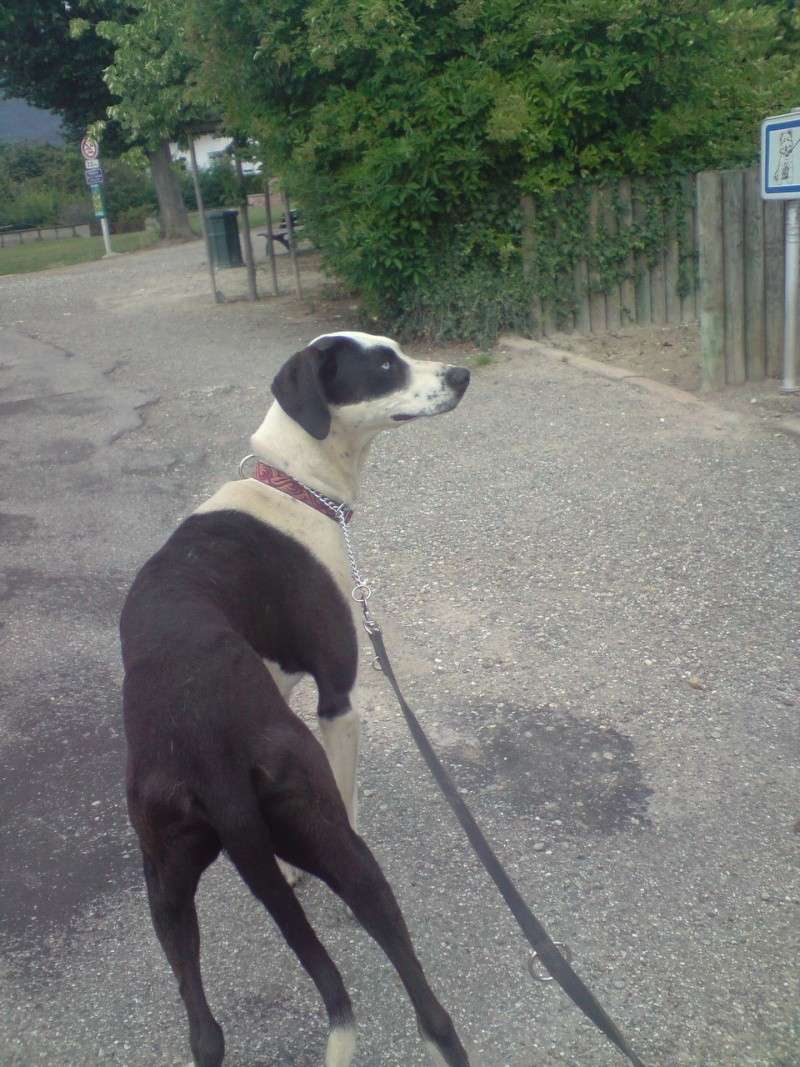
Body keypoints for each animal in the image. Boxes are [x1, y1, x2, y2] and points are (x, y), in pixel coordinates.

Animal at [118, 328, 469, 1062]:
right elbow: (349, 783)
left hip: (164, 887)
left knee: (205, 1032)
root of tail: (207, 751)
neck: (296, 485)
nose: (462, 375)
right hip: (351, 862)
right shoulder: (337, 698)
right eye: (385, 363)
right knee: (428, 1006)